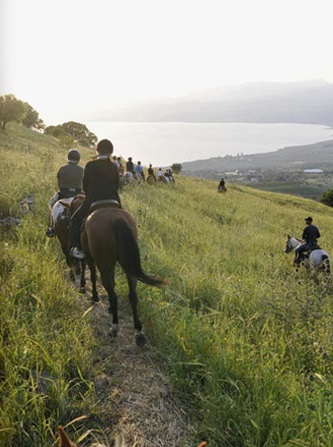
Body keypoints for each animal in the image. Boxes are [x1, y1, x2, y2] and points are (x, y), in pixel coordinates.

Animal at [79, 202, 167, 346]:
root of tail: (116, 219)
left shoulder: (89, 256)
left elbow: (92, 275)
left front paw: (94, 296)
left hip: (104, 263)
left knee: (113, 294)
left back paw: (114, 327)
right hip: (129, 267)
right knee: (132, 295)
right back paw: (138, 332)